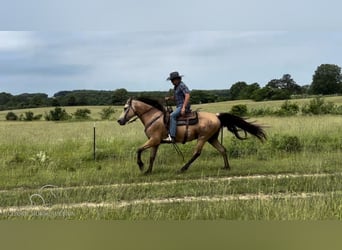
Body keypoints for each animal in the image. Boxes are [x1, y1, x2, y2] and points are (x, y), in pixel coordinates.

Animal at [117, 96, 268, 175]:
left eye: (125, 108)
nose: (119, 121)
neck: (154, 117)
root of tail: (216, 116)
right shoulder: (155, 142)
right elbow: (152, 157)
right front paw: (148, 171)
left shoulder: (153, 140)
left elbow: (139, 150)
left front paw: (141, 166)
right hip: (212, 138)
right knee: (222, 149)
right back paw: (226, 167)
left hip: (203, 138)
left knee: (197, 152)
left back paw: (183, 168)